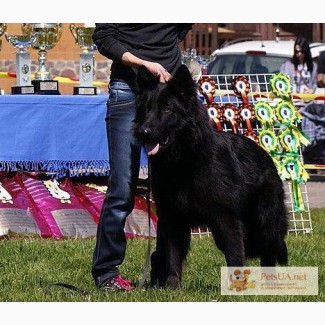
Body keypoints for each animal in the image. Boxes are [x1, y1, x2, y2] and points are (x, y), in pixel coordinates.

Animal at [134, 64, 286, 288]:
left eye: (167, 109)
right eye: (146, 108)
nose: (144, 131)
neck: (184, 160)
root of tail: (265, 155)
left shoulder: (225, 218)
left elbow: (234, 255)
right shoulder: (172, 217)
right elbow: (172, 256)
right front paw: (171, 287)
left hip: (264, 221)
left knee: (269, 252)